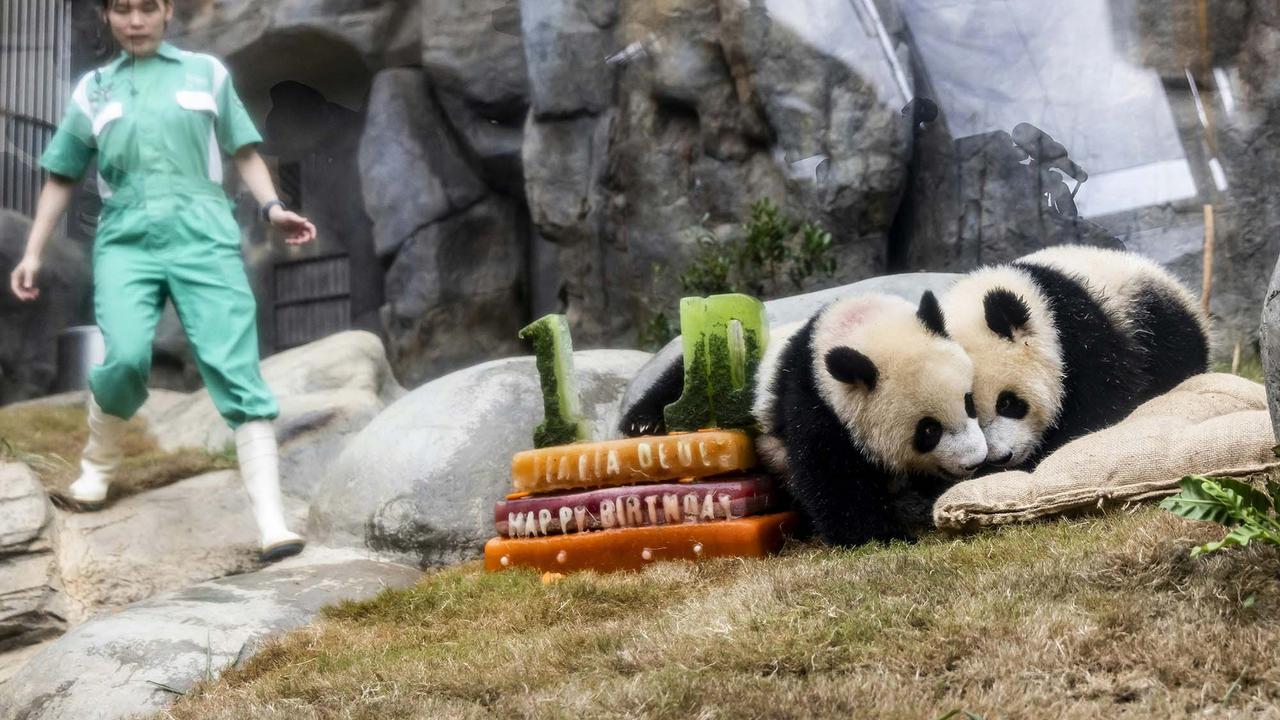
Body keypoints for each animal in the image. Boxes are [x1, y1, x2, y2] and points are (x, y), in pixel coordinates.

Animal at [620, 292, 988, 546]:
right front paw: (883, 535)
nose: (974, 461)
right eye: (928, 430)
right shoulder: (814, 400)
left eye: (969, 403)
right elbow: (831, 476)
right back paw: (642, 423)